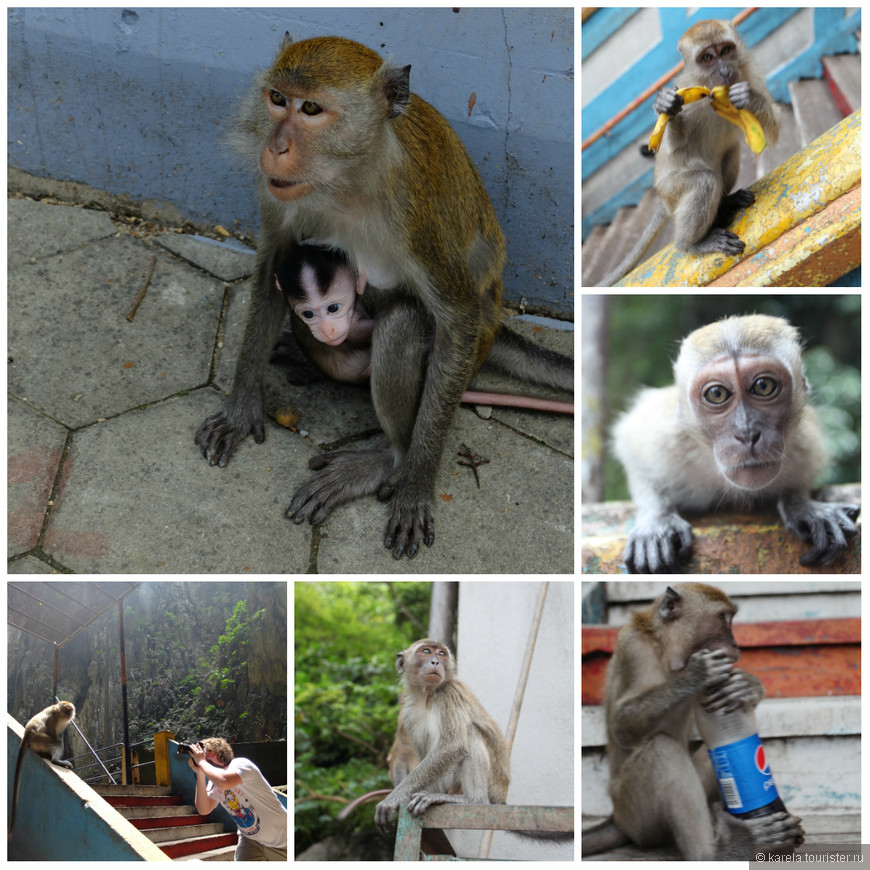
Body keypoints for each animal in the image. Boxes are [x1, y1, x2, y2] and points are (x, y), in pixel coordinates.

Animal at [8, 700, 75, 836]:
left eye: (69, 710)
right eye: (65, 710)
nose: (68, 715)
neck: (59, 713)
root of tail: (27, 734)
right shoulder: (54, 718)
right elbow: (54, 734)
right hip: (39, 738)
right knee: (56, 741)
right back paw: (56, 760)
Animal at [198, 35, 580, 560]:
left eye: (311, 108)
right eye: (277, 99)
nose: (275, 147)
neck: (350, 180)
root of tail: (496, 321)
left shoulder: (415, 215)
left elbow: (454, 319)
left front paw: (416, 485)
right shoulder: (281, 198)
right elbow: (274, 266)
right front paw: (239, 407)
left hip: (471, 348)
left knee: (405, 326)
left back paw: (391, 460)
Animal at [584, 584, 808, 860]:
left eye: (730, 618)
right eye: (722, 618)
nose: (735, 644)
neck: (666, 651)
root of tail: (616, 816)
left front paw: (745, 686)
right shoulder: (633, 649)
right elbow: (621, 728)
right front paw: (697, 674)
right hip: (635, 816)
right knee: (662, 750)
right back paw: (721, 851)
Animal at [604, 19, 780, 286]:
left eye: (725, 51)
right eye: (707, 57)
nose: (725, 72)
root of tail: (662, 199)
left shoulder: (750, 75)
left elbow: (774, 130)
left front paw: (749, 98)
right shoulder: (687, 88)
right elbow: (676, 147)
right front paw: (668, 107)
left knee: (730, 153)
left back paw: (725, 203)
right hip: (671, 190)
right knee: (703, 181)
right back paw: (691, 244)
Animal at [616, 316, 860, 576]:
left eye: (763, 386)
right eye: (717, 393)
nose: (746, 433)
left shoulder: (804, 444)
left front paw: (802, 505)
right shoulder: (666, 438)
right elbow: (632, 449)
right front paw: (657, 521)